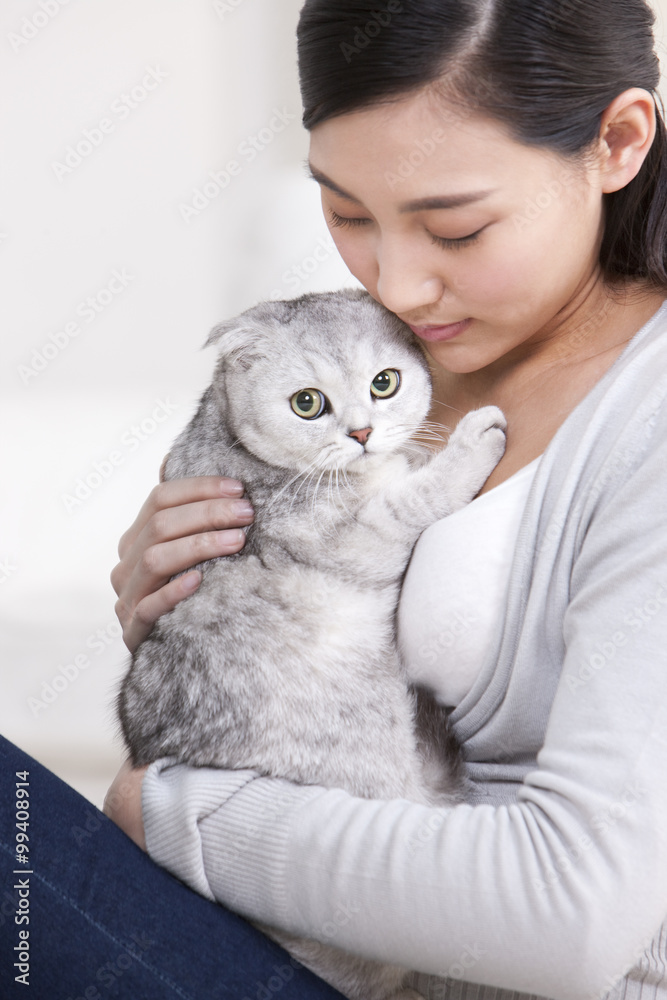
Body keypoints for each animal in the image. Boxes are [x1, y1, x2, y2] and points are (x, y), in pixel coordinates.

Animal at [118, 288, 506, 1000]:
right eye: (307, 403)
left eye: (385, 384)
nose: (362, 434)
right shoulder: (354, 539)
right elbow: (415, 496)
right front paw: (466, 444)